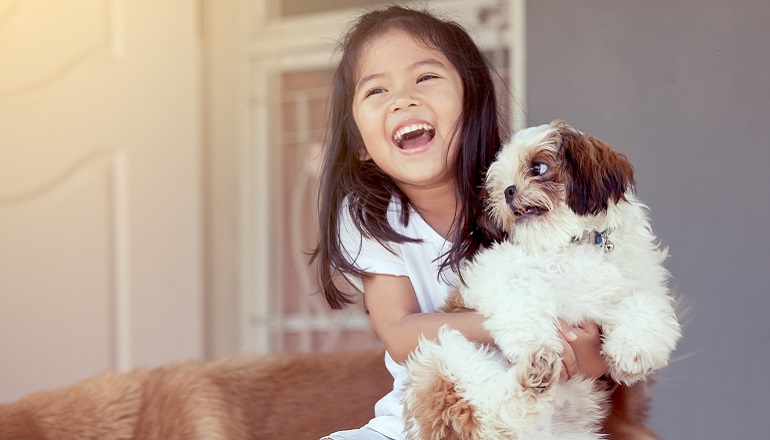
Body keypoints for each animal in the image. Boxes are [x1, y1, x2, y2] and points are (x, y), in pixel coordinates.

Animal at [402, 121, 680, 440]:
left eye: (538, 168)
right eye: (499, 184)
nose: (508, 191)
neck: (575, 243)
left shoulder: (641, 283)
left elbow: (644, 304)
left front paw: (634, 352)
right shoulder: (494, 272)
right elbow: (522, 295)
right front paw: (536, 341)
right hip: (444, 356)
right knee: (491, 411)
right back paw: (535, 371)